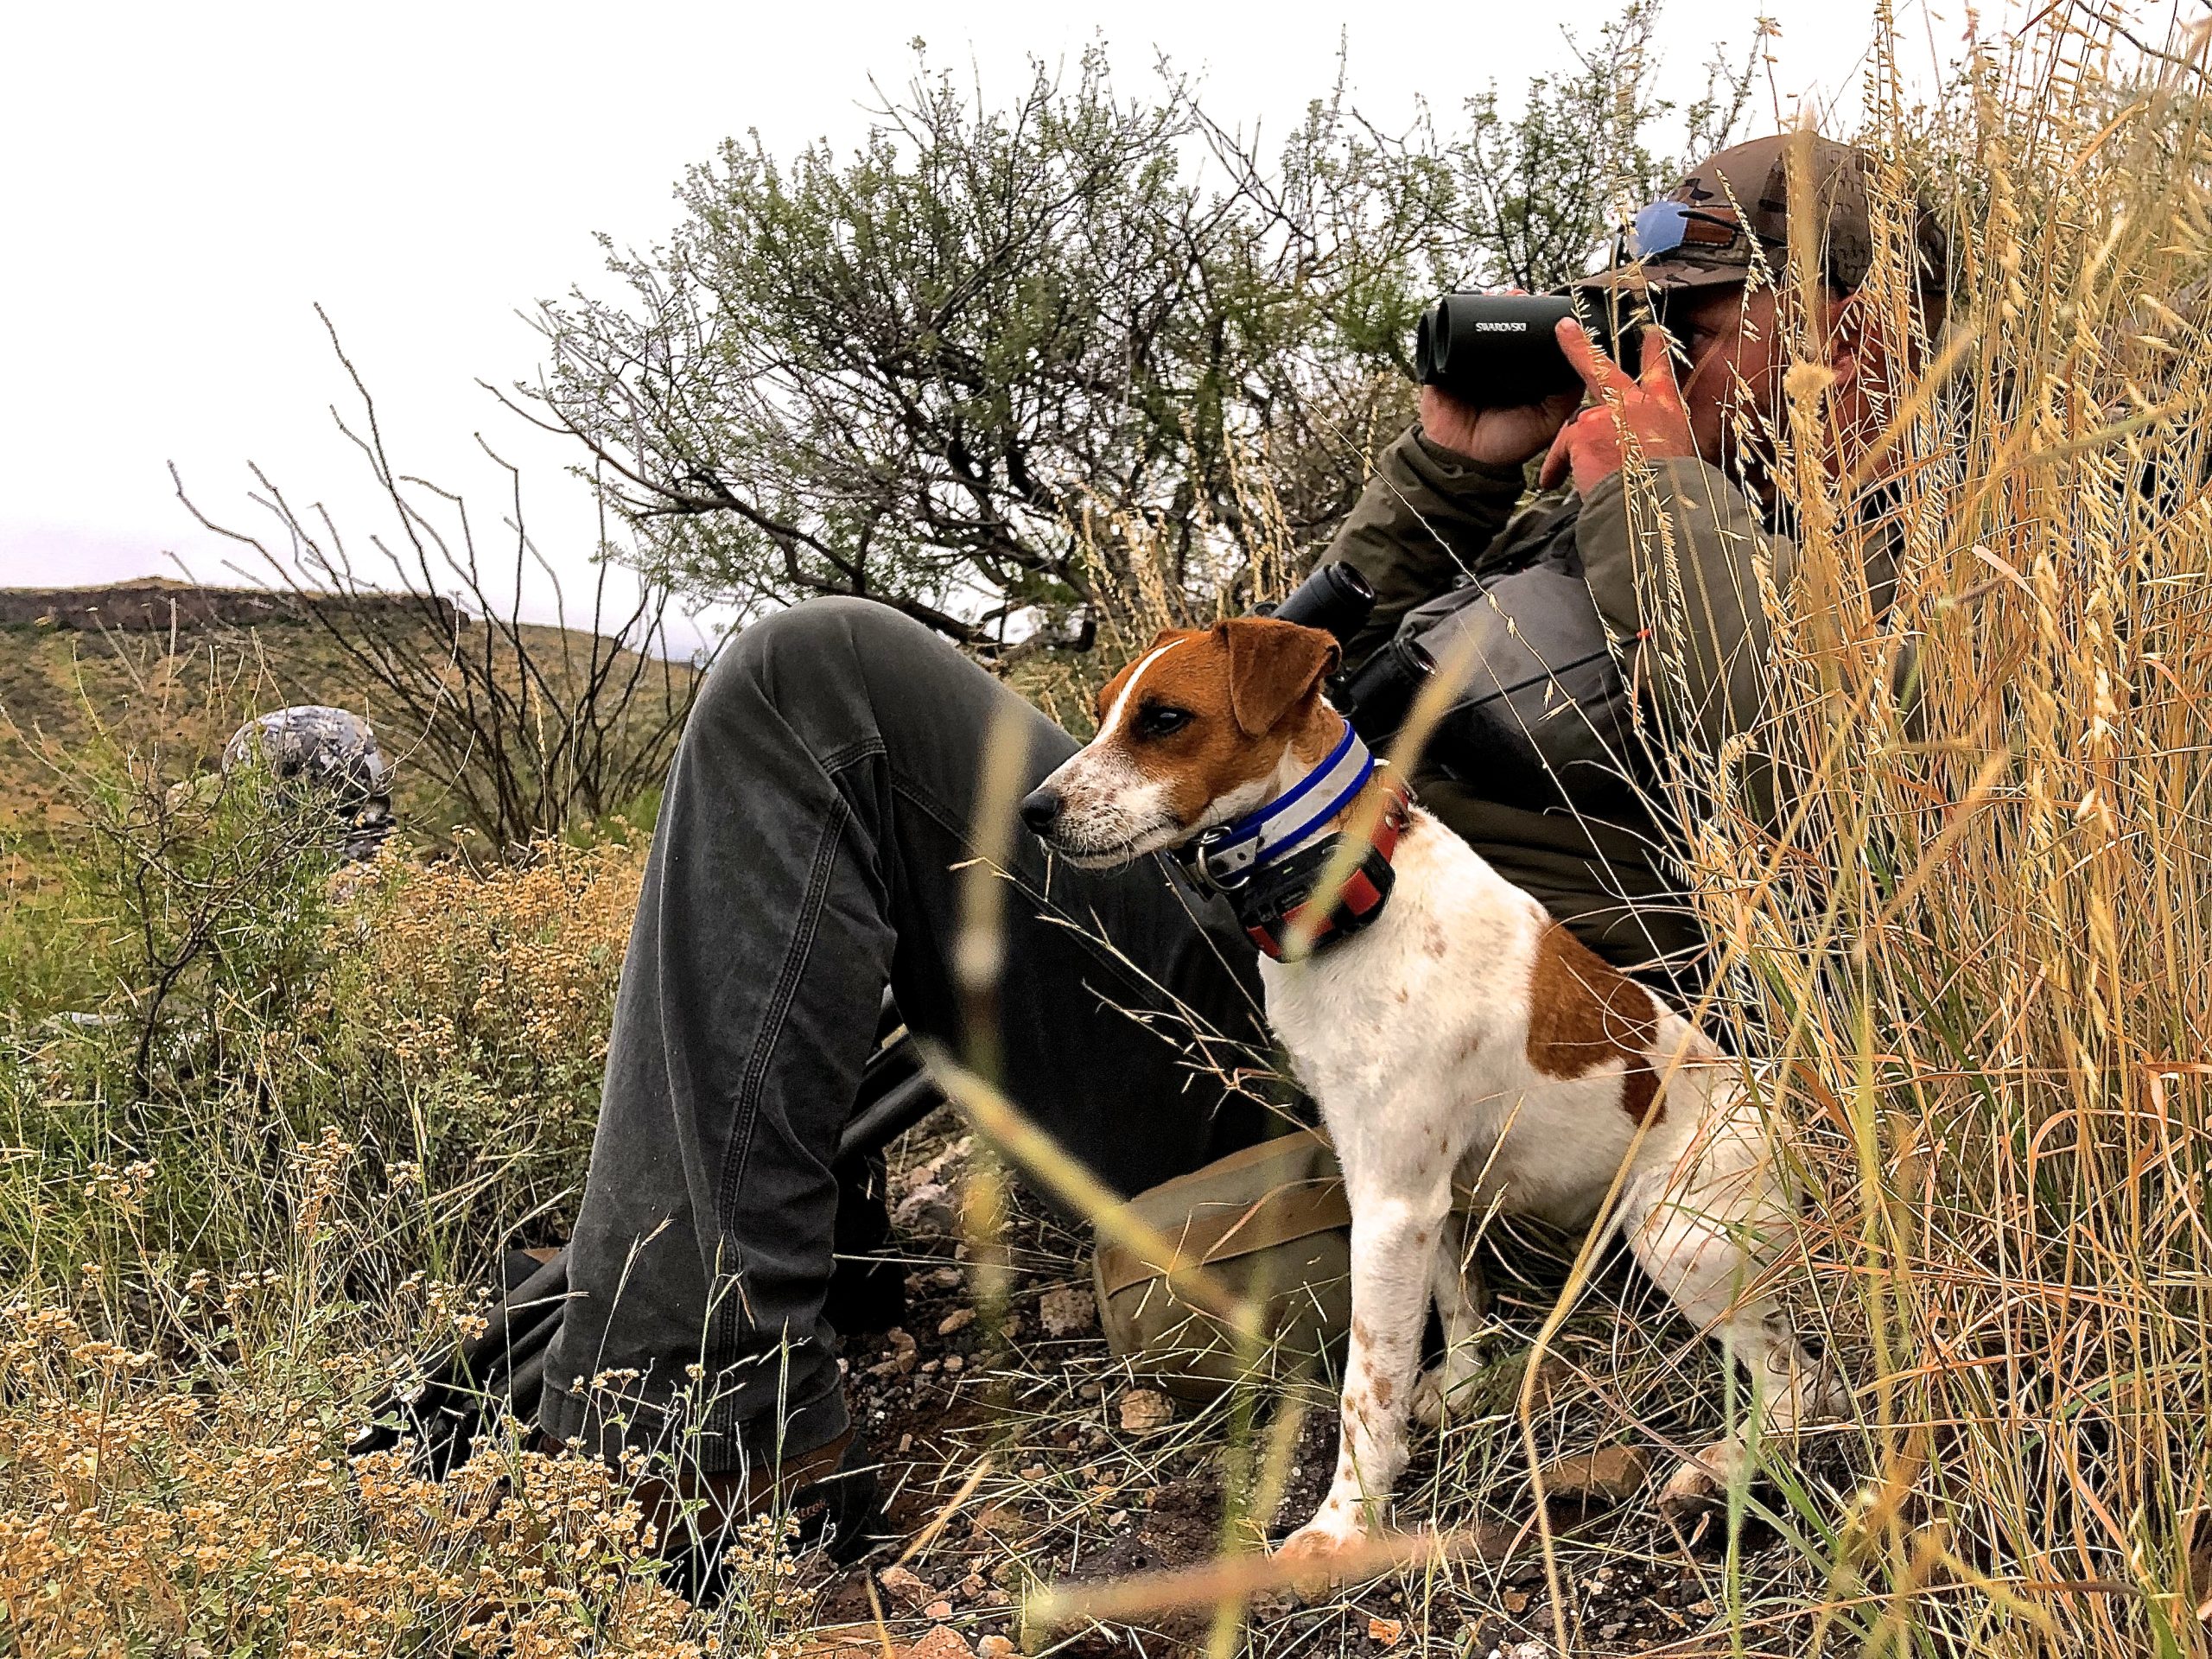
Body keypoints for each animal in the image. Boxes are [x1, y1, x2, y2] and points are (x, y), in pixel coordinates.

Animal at [1026, 619, 1840, 1574]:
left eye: (1162, 718)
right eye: (1104, 711)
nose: (1033, 810)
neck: (1349, 887)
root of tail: (1798, 1150)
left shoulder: (1391, 1202)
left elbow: (1367, 1385)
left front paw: (1344, 1522)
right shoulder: (1411, 1189)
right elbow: (1454, 1299)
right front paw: (1462, 1381)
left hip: (1677, 1234)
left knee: (1799, 1381)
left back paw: (1724, 1468)